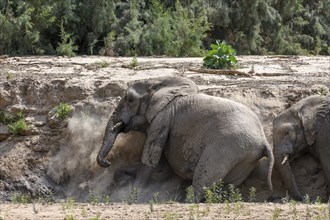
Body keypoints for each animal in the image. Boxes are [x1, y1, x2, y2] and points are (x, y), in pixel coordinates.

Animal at [96, 76, 274, 201]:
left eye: (130, 99)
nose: (108, 162)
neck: (159, 82)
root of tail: (264, 141)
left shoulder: (162, 118)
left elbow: (150, 161)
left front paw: (134, 193)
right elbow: (160, 168)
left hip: (228, 147)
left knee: (202, 180)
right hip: (246, 157)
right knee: (225, 187)